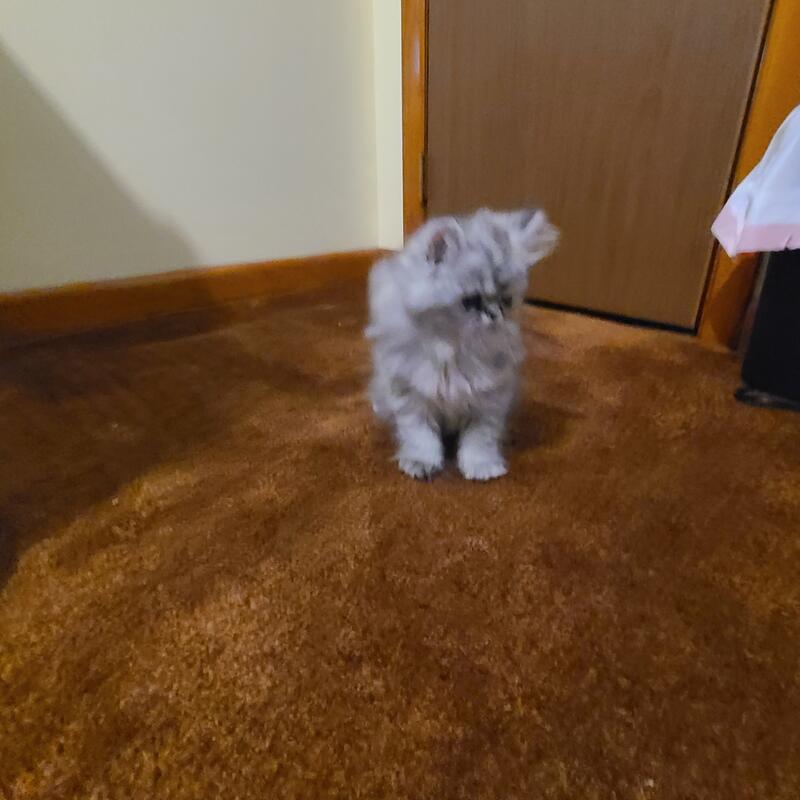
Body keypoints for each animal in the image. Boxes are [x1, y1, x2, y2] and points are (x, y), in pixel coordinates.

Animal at [366, 207, 559, 480]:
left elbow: (480, 439)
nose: (494, 315)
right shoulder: (410, 395)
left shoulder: (490, 399)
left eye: (506, 301)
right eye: (471, 301)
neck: (453, 348)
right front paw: (421, 462)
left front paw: (481, 466)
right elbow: (419, 436)